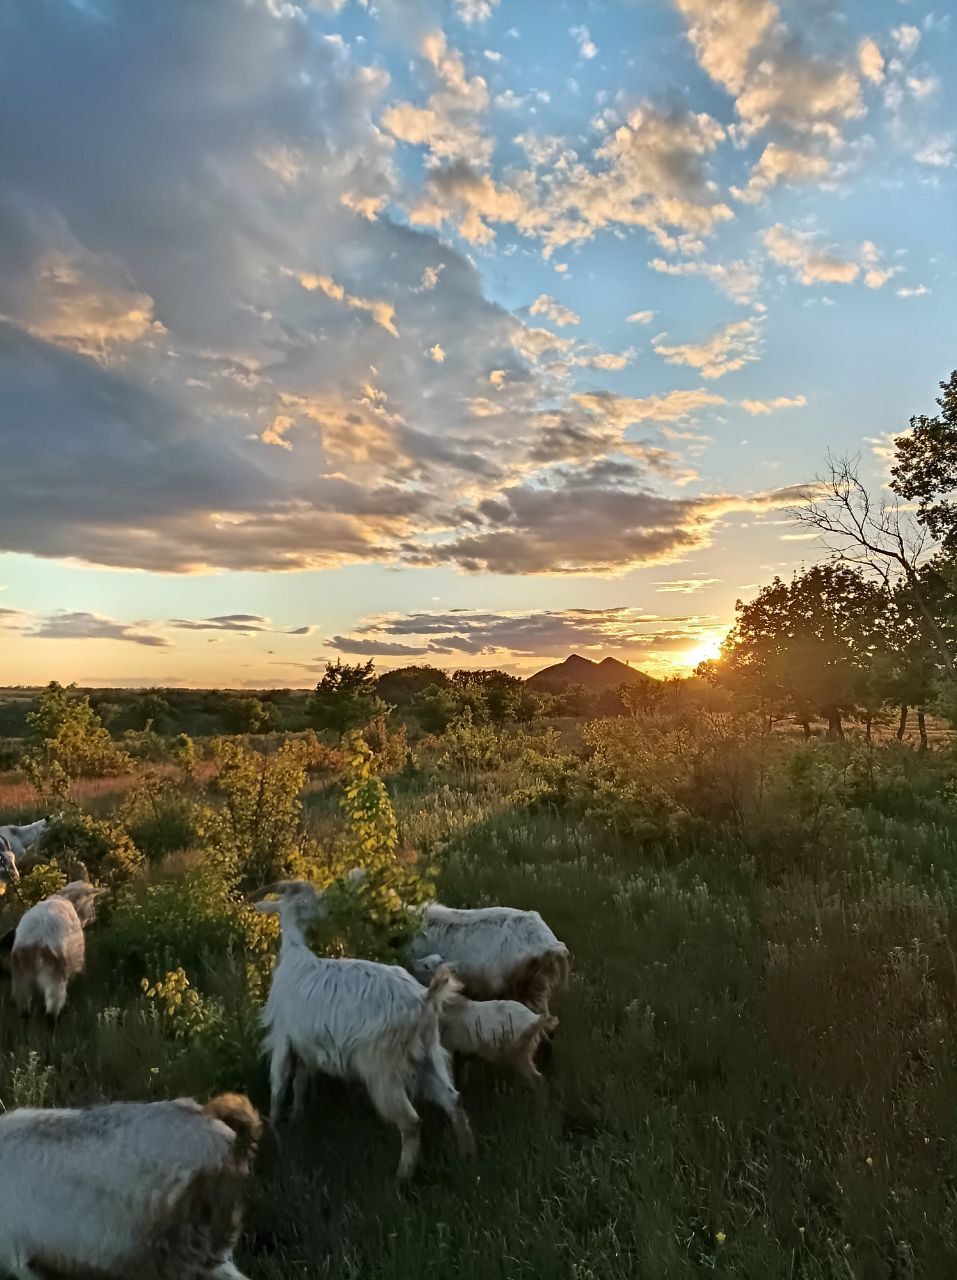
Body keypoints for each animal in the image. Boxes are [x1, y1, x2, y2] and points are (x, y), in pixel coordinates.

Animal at [10, 885, 104, 1013]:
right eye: (90, 900)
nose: (93, 917)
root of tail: (34, 940)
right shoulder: (76, 957)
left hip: (21, 976)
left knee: (24, 1007)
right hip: (55, 973)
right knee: (53, 1007)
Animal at [252, 880, 473, 1177]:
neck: (294, 953)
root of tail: (425, 998)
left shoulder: (283, 1036)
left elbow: (278, 1082)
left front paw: (274, 1127)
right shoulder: (308, 1043)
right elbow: (300, 1081)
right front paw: (296, 1116)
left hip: (383, 1068)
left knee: (411, 1122)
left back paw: (401, 1177)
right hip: (428, 1053)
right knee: (453, 1100)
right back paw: (466, 1156)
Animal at [414, 952, 557, 1080]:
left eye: (426, 966)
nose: (413, 961)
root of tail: (536, 1019)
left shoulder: (451, 1048)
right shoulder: (463, 1054)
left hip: (520, 1054)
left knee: (537, 1079)